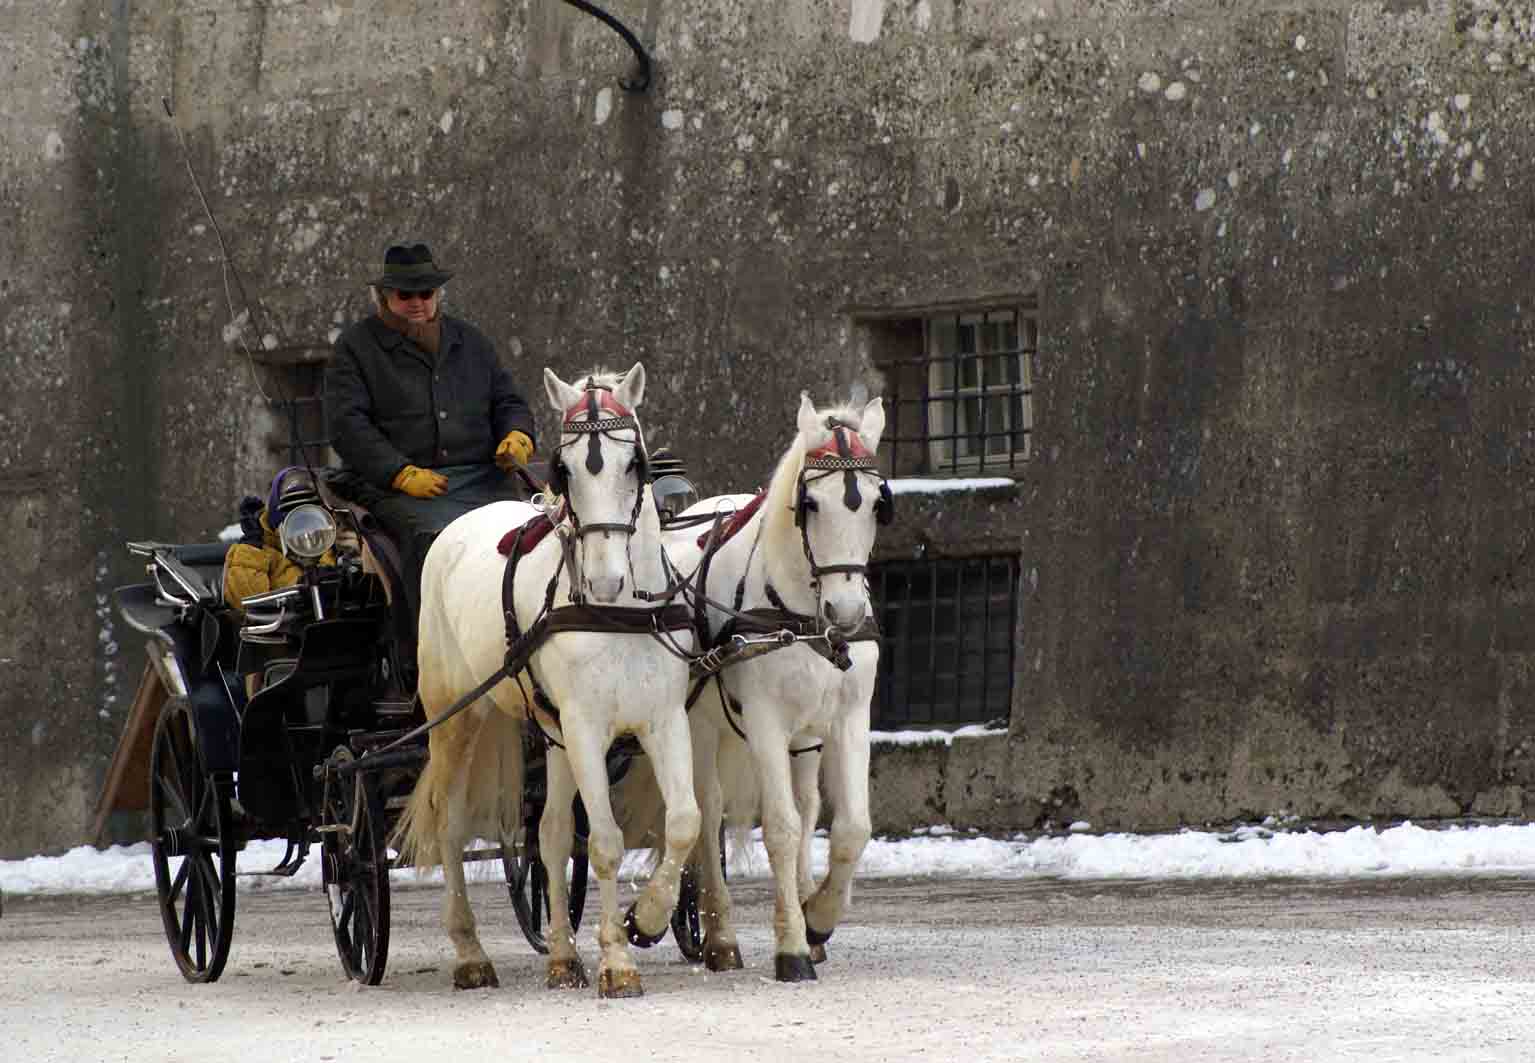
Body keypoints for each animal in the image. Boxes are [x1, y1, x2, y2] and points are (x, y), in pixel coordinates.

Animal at [399, 363, 703, 993]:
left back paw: (563, 956)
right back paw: (469, 952)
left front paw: (647, 918)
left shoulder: (662, 720)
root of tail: (458, 524)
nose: (607, 581)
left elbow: (684, 822)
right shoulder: (587, 727)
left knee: (551, 833)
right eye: (565, 469)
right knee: (449, 823)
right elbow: (607, 841)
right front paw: (618, 961)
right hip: (456, 718)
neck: (619, 613)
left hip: (556, 735)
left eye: (634, 463)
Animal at [623, 389, 890, 975]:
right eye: (811, 504)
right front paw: (792, 946)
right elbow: (781, 828)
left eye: (876, 504)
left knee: (807, 806)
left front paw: (818, 917)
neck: (803, 616)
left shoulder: (849, 716)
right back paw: (717, 936)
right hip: (701, 728)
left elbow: (851, 827)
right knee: (707, 814)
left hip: (804, 740)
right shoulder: (765, 722)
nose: (847, 612)